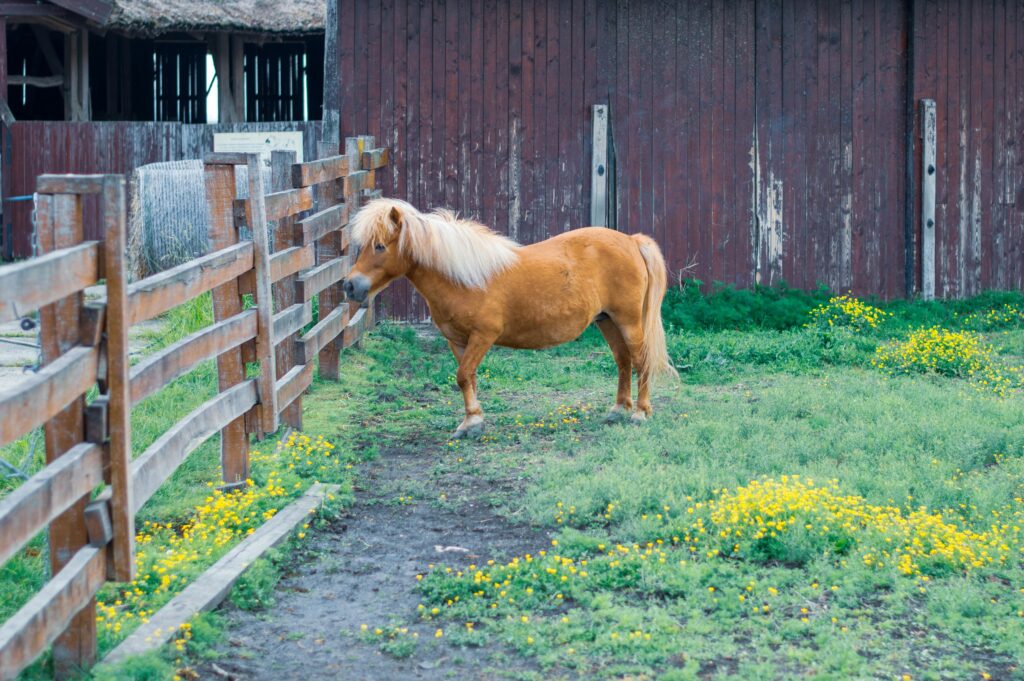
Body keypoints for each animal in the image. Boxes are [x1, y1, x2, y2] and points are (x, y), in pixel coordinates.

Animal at [348, 199, 675, 438]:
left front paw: (472, 423)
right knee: (623, 361)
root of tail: (631, 241)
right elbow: (468, 379)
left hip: (628, 321)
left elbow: (463, 375)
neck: (465, 279)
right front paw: (472, 420)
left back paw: (640, 413)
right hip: (607, 320)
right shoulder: (458, 341)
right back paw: (618, 409)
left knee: (641, 361)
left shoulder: (483, 336)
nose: (350, 286)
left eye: (380, 246)